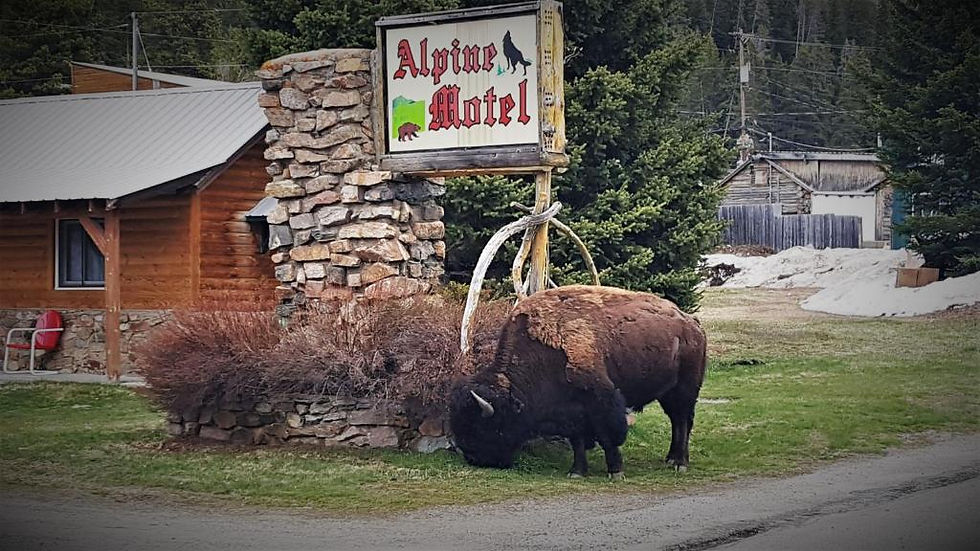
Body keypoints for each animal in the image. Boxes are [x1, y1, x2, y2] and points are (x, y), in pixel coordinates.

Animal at [450, 285, 707, 477]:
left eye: (480, 427)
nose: (473, 458)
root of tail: (692, 323)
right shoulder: (573, 411)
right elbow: (578, 440)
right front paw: (577, 471)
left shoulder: (602, 401)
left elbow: (608, 436)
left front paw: (615, 471)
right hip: (668, 394)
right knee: (676, 421)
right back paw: (670, 458)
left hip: (685, 390)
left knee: (682, 422)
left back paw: (680, 463)